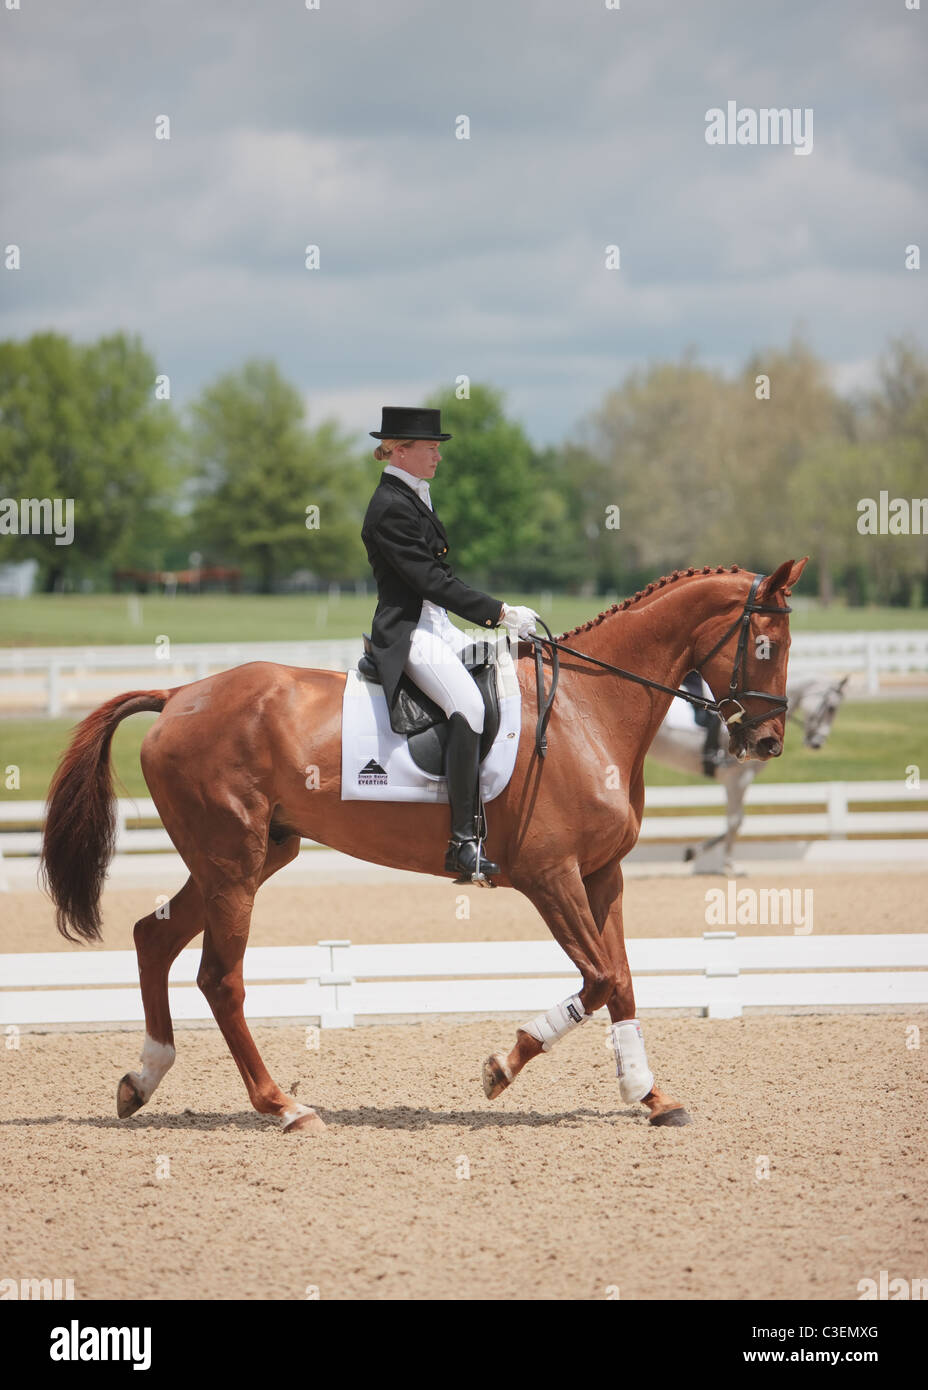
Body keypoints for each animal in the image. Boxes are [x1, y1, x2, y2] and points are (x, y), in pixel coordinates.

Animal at [39, 558, 805, 1134]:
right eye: (765, 646)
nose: (768, 744)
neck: (590, 708)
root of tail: (178, 694)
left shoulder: (601, 874)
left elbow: (622, 981)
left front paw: (651, 1095)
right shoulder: (550, 876)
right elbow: (599, 979)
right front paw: (503, 1065)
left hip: (253, 856)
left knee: (152, 939)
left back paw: (142, 1080)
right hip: (232, 862)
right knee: (219, 979)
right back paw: (284, 1107)